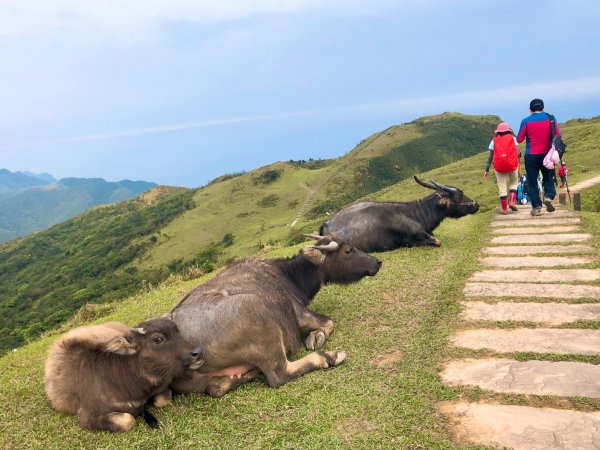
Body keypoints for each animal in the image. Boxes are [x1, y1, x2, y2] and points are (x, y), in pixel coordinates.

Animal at [44, 316, 203, 432]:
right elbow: (128, 420)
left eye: (177, 331)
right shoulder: (86, 417)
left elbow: (162, 401)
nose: (197, 353)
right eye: (158, 339)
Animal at [166, 236, 380, 398]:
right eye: (348, 250)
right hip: (260, 317)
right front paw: (316, 338)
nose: (377, 262)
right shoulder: (300, 314)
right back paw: (330, 357)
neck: (287, 274)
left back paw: (250, 373)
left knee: (216, 387)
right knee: (280, 375)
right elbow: (329, 322)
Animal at [318, 176, 478, 253]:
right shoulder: (414, 239)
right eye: (459, 196)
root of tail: (327, 223)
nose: (476, 205)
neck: (414, 214)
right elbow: (437, 241)